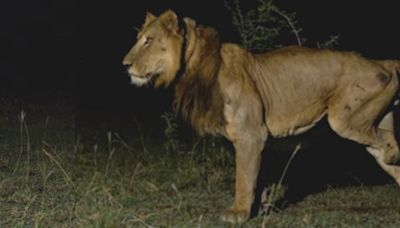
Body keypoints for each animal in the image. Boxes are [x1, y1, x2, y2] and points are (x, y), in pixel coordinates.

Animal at [122, 10, 400, 223]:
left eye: (148, 40)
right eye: (139, 39)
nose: (125, 65)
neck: (193, 68)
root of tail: (383, 63)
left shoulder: (250, 135)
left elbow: (244, 177)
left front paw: (238, 213)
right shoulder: (258, 138)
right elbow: (260, 176)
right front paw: (261, 209)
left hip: (345, 120)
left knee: (387, 141)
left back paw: (392, 153)